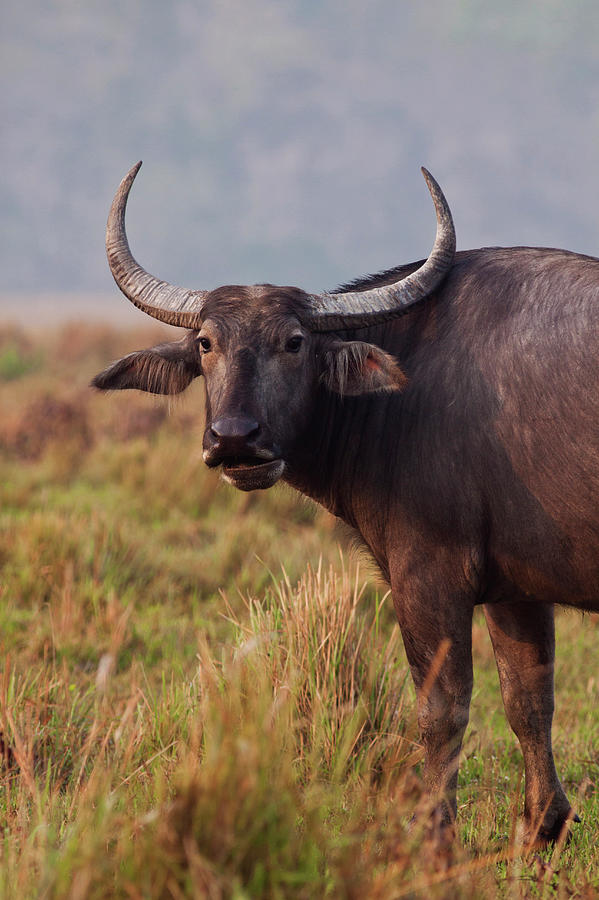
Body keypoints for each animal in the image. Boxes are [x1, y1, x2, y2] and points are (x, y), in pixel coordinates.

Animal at [94, 165, 599, 848]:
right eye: (204, 343)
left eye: (294, 342)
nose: (235, 439)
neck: (402, 390)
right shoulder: (517, 591)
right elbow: (529, 704)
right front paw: (543, 829)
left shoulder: (429, 577)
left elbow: (442, 711)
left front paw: (433, 838)